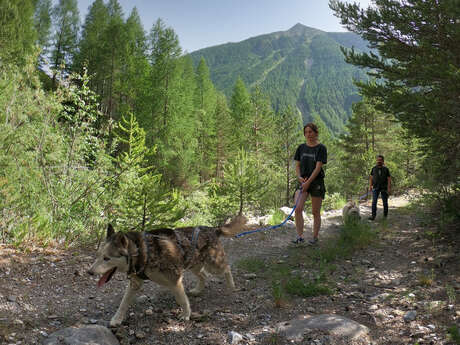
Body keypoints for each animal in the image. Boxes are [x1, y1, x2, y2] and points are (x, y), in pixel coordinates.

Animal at [86, 215, 244, 326]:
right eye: (98, 256)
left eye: (106, 258)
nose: (89, 272)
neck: (142, 251)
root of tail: (213, 229)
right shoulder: (135, 283)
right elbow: (123, 303)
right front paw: (117, 319)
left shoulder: (175, 281)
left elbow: (182, 299)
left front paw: (186, 314)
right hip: (194, 265)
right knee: (204, 275)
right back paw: (198, 290)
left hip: (214, 265)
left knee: (226, 269)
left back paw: (232, 286)